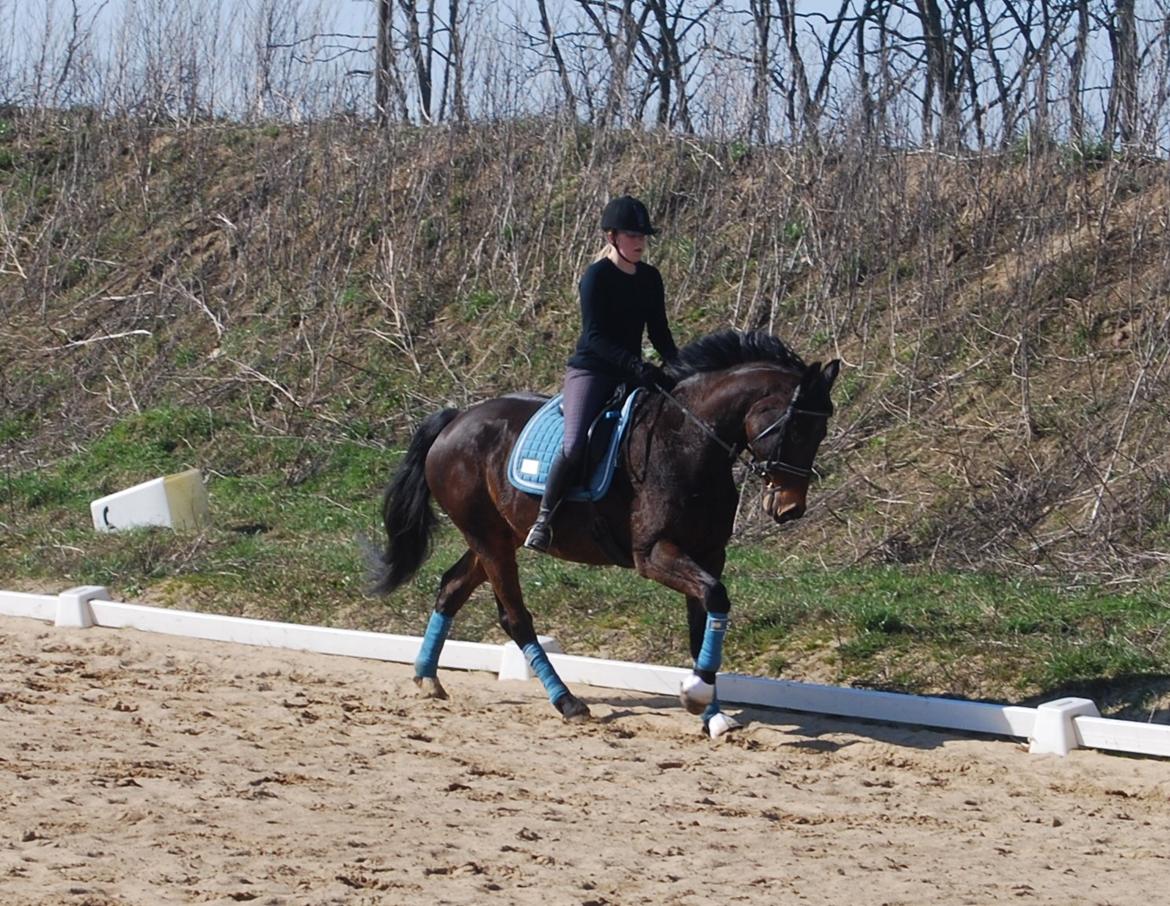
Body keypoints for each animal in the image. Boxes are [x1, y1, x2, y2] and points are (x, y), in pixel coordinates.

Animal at [369, 330, 837, 739]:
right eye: (795, 427)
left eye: (821, 431)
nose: (790, 509)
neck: (688, 443)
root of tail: (456, 420)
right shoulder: (654, 554)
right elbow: (715, 597)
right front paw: (695, 694)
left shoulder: (708, 554)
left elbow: (703, 621)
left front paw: (712, 714)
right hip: (489, 539)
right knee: (515, 618)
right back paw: (567, 702)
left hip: (495, 537)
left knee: (451, 587)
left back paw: (427, 678)